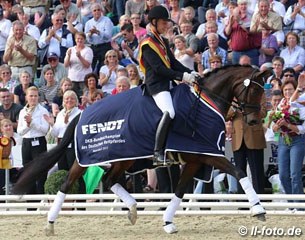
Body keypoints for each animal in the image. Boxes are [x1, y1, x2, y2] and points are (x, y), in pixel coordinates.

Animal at [13, 64, 272, 235]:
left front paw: (168, 222)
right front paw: (258, 209)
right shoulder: (208, 155)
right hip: (88, 158)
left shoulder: (196, 160)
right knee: (67, 183)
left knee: (109, 180)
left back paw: (133, 209)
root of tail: (83, 112)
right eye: (255, 90)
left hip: (123, 158)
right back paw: (50, 223)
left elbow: (180, 190)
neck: (206, 103)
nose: (253, 121)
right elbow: (239, 172)